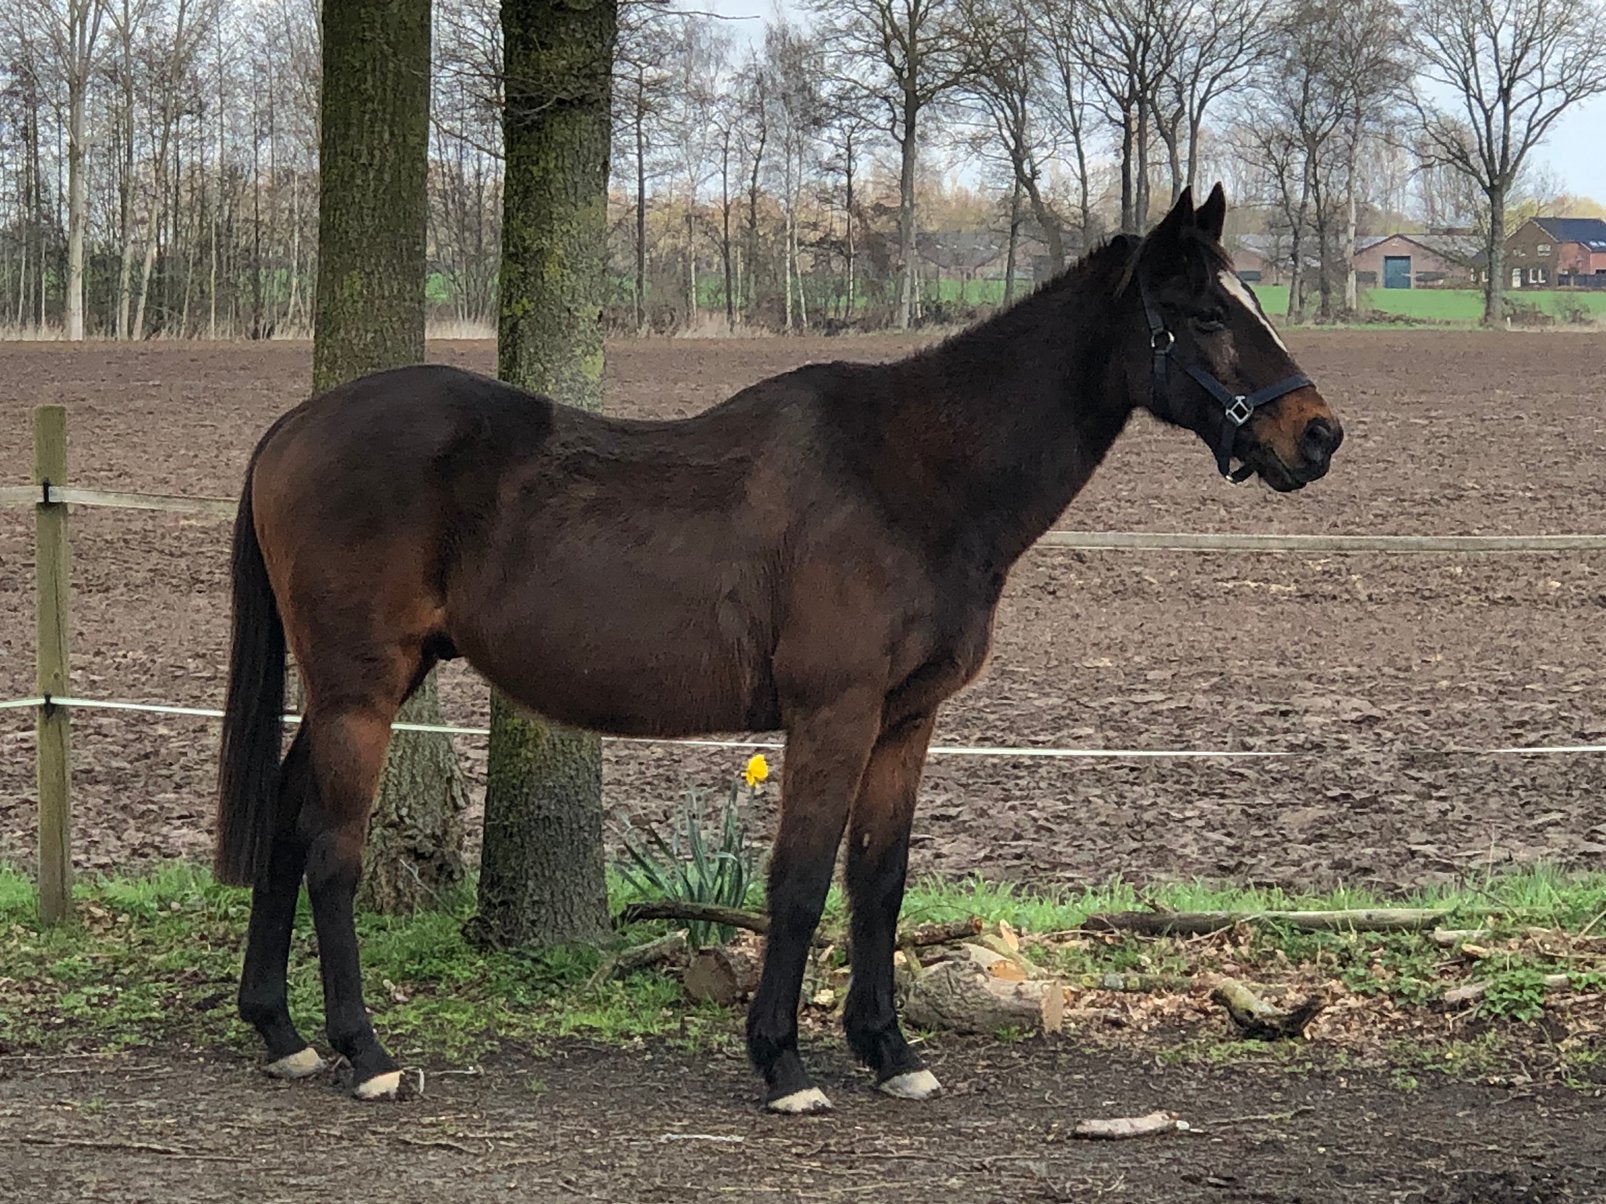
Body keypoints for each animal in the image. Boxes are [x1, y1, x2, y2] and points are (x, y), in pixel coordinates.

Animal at [214, 184, 1343, 1113]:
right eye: (1207, 315)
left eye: (1250, 301)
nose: (1318, 434)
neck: (912, 474)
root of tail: (292, 428)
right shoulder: (831, 713)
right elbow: (799, 881)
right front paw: (784, 1061)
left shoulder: (906, 719)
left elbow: (878, 879)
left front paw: (890, 1053)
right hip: (361, 692)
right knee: (332, 853)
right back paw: (365, 1053)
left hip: (346, 691)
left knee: (285, 819)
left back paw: (281, 1034)